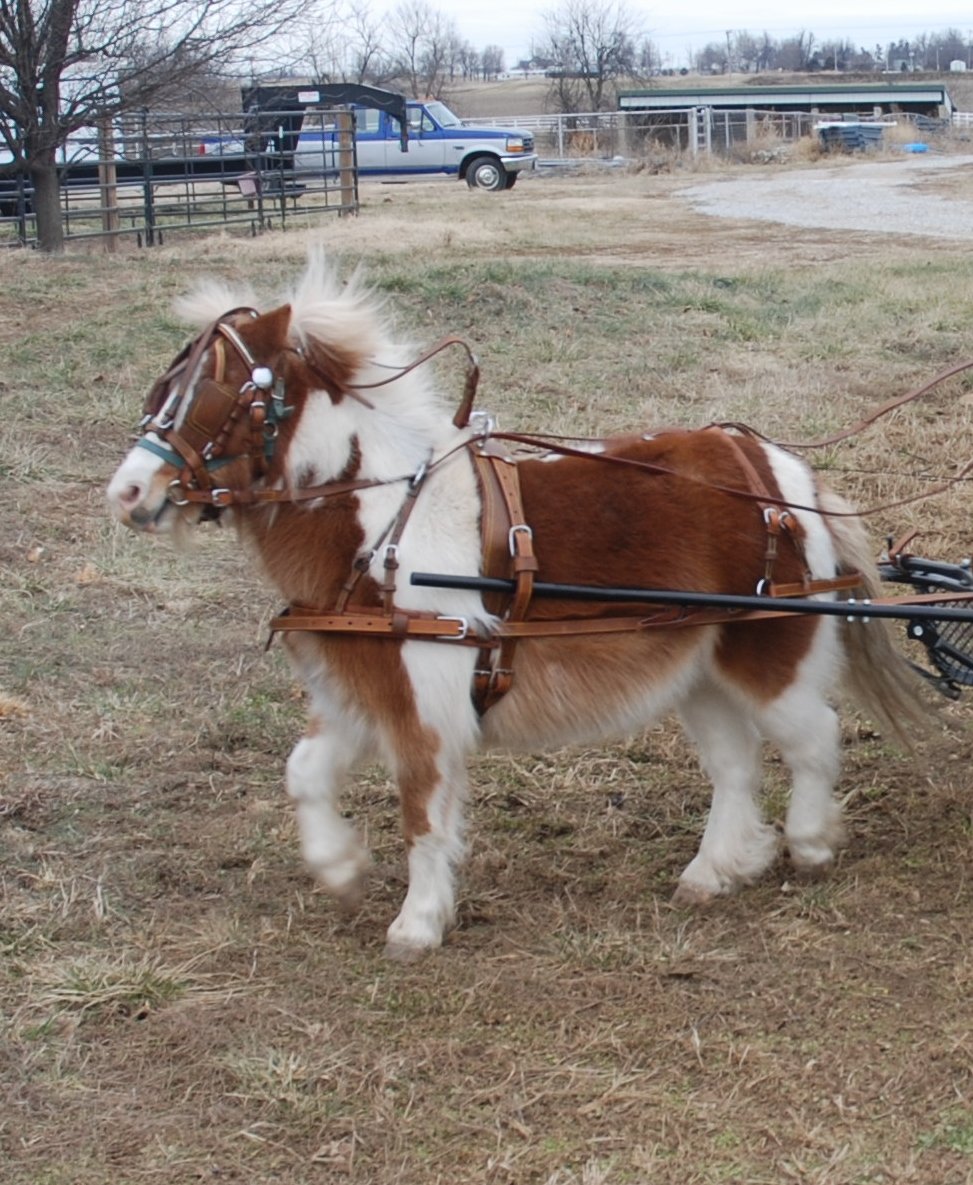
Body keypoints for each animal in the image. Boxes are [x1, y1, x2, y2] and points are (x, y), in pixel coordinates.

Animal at [107, 255, 922, 958]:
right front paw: (339, 866)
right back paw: (715, 868)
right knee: (735, 764)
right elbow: (304, 772)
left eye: (223, 395)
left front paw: (417, 923)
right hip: (701, 668)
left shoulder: (423, 705)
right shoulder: (359, 688)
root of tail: (778, 470)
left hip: (769, 656)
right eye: (163, 390)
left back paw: (809, 842)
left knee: (811, 739)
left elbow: (422, 809)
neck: (388, 521)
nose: (127, 492)